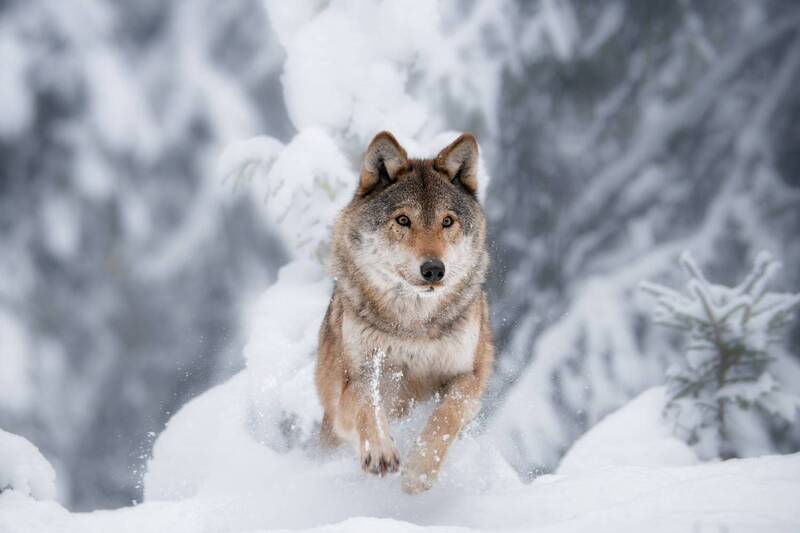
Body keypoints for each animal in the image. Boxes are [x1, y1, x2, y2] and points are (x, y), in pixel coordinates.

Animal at [315, 131, 493, 494]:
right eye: (402, 220)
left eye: (447, 221)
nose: (433, 270)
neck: (414, 327)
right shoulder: (355, 378)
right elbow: (367, 402)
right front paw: (380, 451)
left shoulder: (469, 377)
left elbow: (447, 414)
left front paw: (420, 470)